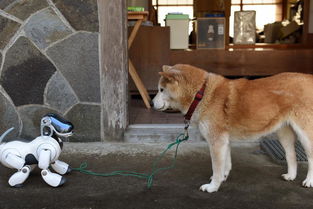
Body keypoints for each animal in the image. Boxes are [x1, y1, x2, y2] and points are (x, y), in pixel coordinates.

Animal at [152, 63, 313, 193]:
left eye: (161, 90)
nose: (151, 102)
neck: (201, 94)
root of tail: (309, 78)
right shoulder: (224, 141)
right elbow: (225, 163)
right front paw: (223, 178)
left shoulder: (217, 142)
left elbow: (216, 167)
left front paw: (213, 186)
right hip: (284, 133)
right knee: (291, 155)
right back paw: (291, 176)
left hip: (305, 135)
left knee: (310, 157)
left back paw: (309, 181)